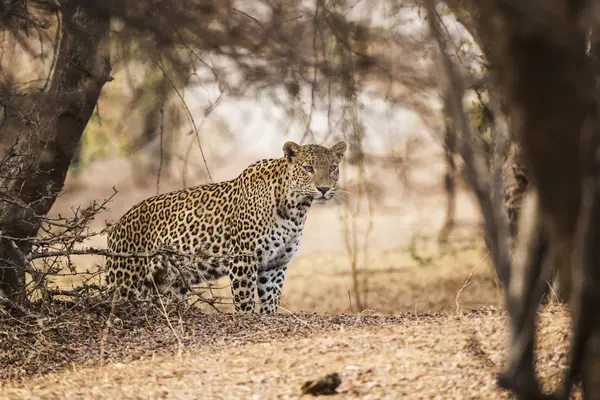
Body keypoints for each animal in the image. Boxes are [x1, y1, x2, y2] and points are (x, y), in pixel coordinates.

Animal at [104, 141, 346, 312]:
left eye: (333, 168)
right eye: (308, 168)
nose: (324, 189)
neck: (295, 209)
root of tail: (116, 227)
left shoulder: (276, 264)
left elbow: (271, 300)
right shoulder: (243, 259)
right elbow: (245, 300)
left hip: (169, 283)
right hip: (126, 281)